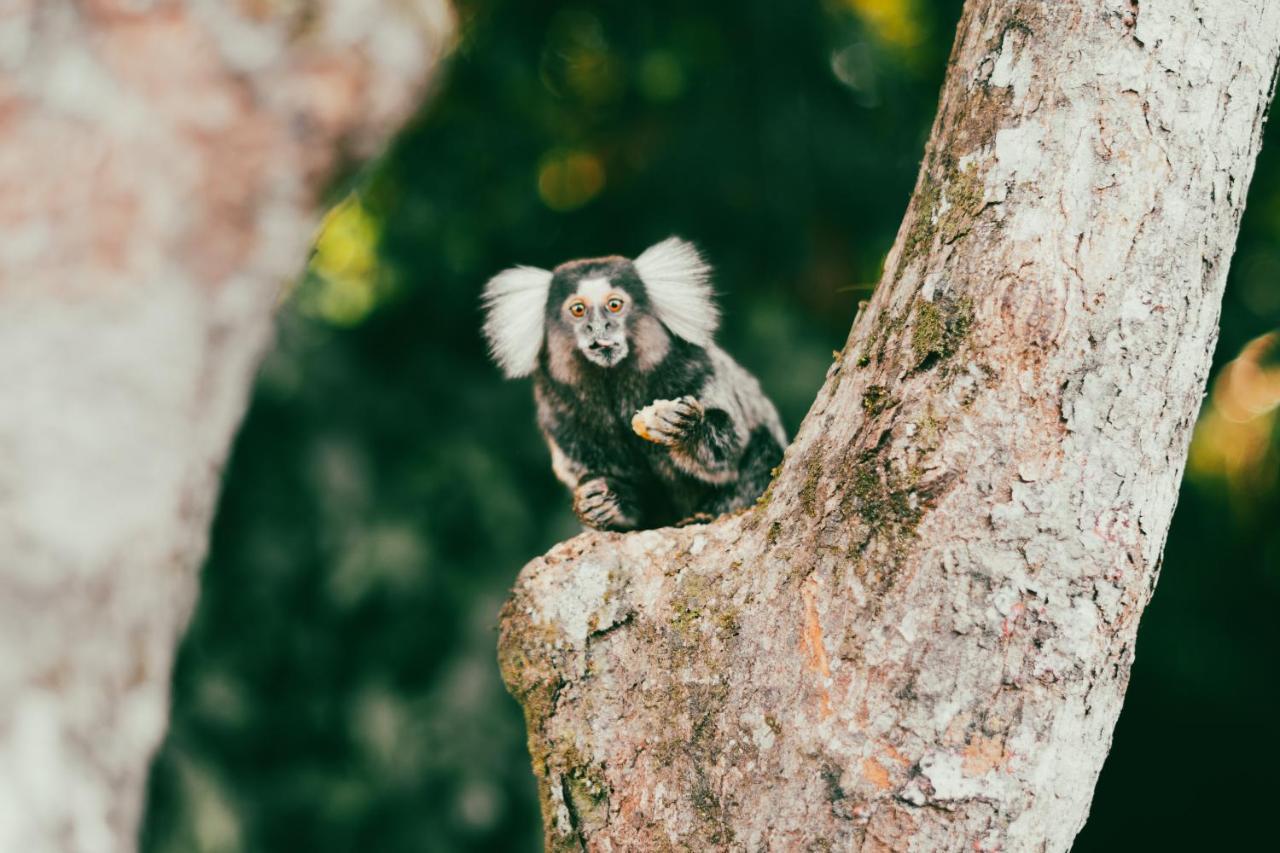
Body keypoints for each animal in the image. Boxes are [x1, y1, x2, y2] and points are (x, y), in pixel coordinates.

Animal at [481, 235, 783, 527]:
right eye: (578, 309)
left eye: (614, 305)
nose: (599, 327)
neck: (613, 382)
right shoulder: (559, 414)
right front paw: (608, 504)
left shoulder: (697, 368)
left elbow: (729, 450)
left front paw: (683, 426)